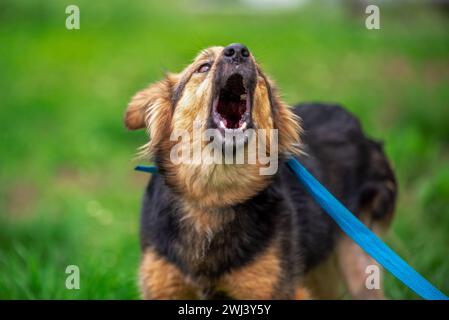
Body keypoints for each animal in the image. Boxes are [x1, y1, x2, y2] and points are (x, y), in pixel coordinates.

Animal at [123, 43, 396, 298]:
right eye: (203, 67)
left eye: (260, 74)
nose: (237, 50)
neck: (214, 193)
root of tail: (362, 131)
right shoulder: (164, 287)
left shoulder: (273, 287)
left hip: (357, 258)